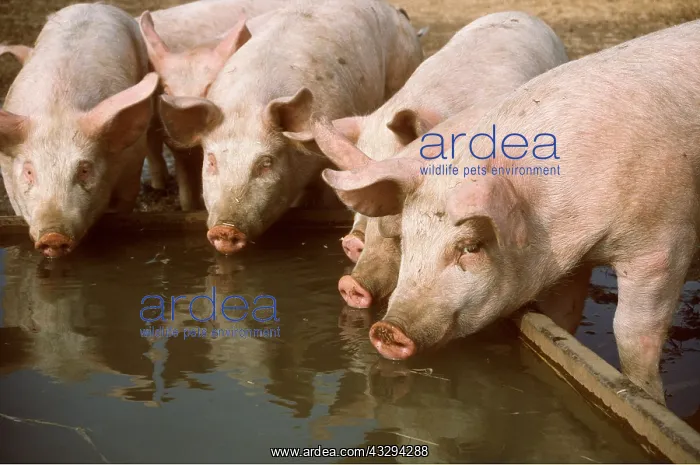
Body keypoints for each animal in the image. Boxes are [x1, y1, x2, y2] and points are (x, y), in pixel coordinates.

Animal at [0, 3, 159, 258]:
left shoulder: (133, 165)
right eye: (29, 171)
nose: (53, 236)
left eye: (84, 169)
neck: (58, 108)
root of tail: (93, 4)